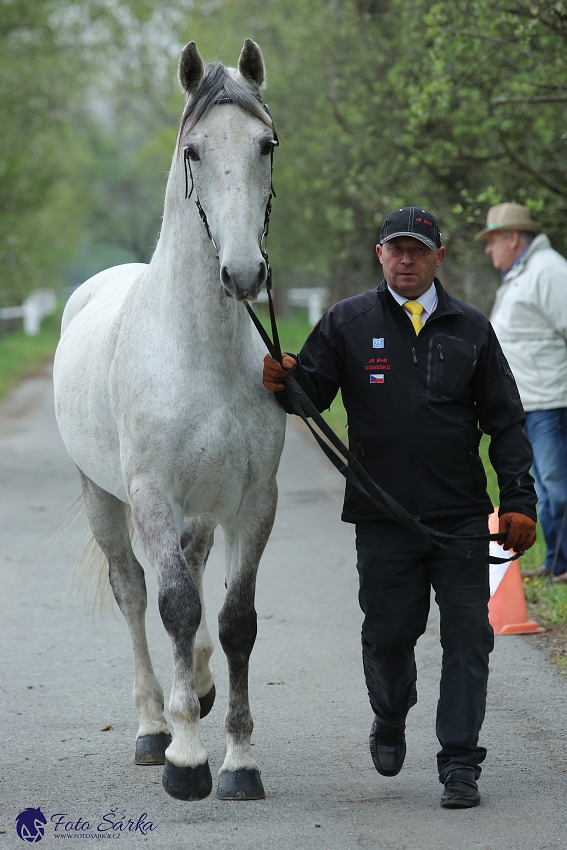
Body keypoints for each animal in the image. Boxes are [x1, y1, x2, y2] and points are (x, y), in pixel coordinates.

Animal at [53, 36, 286, 800]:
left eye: (265, 144)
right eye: (194, 151)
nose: (243, 274)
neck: (199, 351)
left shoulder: (252, 503)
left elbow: (236, 621)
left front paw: (240, 762)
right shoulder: (152, 494)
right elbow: (174, 606)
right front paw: (187, 759)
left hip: (201, 512)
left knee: (191, 575)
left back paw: (201, 690)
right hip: (105, 497)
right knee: (134, 592)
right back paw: (154, 726)